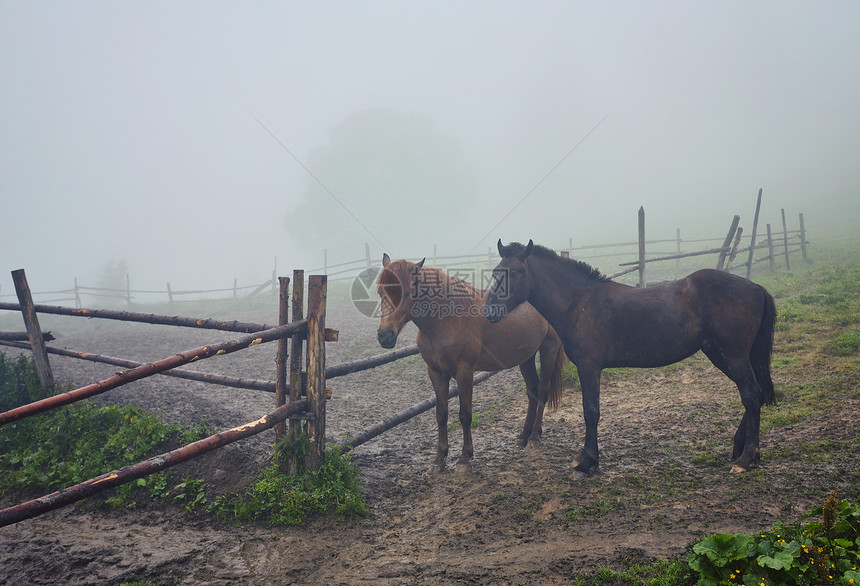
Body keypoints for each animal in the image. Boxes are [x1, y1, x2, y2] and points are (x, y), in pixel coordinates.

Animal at [374, 253, 564, 468]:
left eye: (406, 293)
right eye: (380, 292)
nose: (385, 336)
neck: (445, 320)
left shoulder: (464, 372)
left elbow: (465, 414)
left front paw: (465, 456)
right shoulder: (436, 372)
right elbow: (441, 414)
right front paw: (440, 456)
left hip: (549, 348)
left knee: (542, 390)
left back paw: (534, 436)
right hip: (526, 356)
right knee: (532, 389)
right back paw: (523, 435)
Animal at [484, 240, 780, 476]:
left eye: (514, 272)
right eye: (496, 272)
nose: (489, 311)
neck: (580, 303)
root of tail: (755, 287)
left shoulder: (590, 367)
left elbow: (591, 412)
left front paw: (587, 463)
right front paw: (585, 458)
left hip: (734, 355)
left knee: (751, 395)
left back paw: (746, 458)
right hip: (720, 354)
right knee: (755, 394)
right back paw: (740, 448)